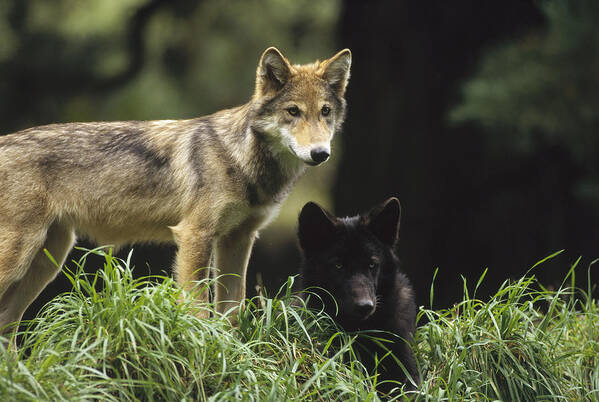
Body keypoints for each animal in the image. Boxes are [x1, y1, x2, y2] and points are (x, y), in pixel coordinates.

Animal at [0, 46, 354, 342]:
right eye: (293, 112)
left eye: (325, 112)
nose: (320, 153)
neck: (240, 157)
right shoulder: (194, 236)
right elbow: (198, 308)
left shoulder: (238, 240)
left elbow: (232, 310)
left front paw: (231, 354)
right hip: (24, 257)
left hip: (49, 260)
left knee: (7, 324)